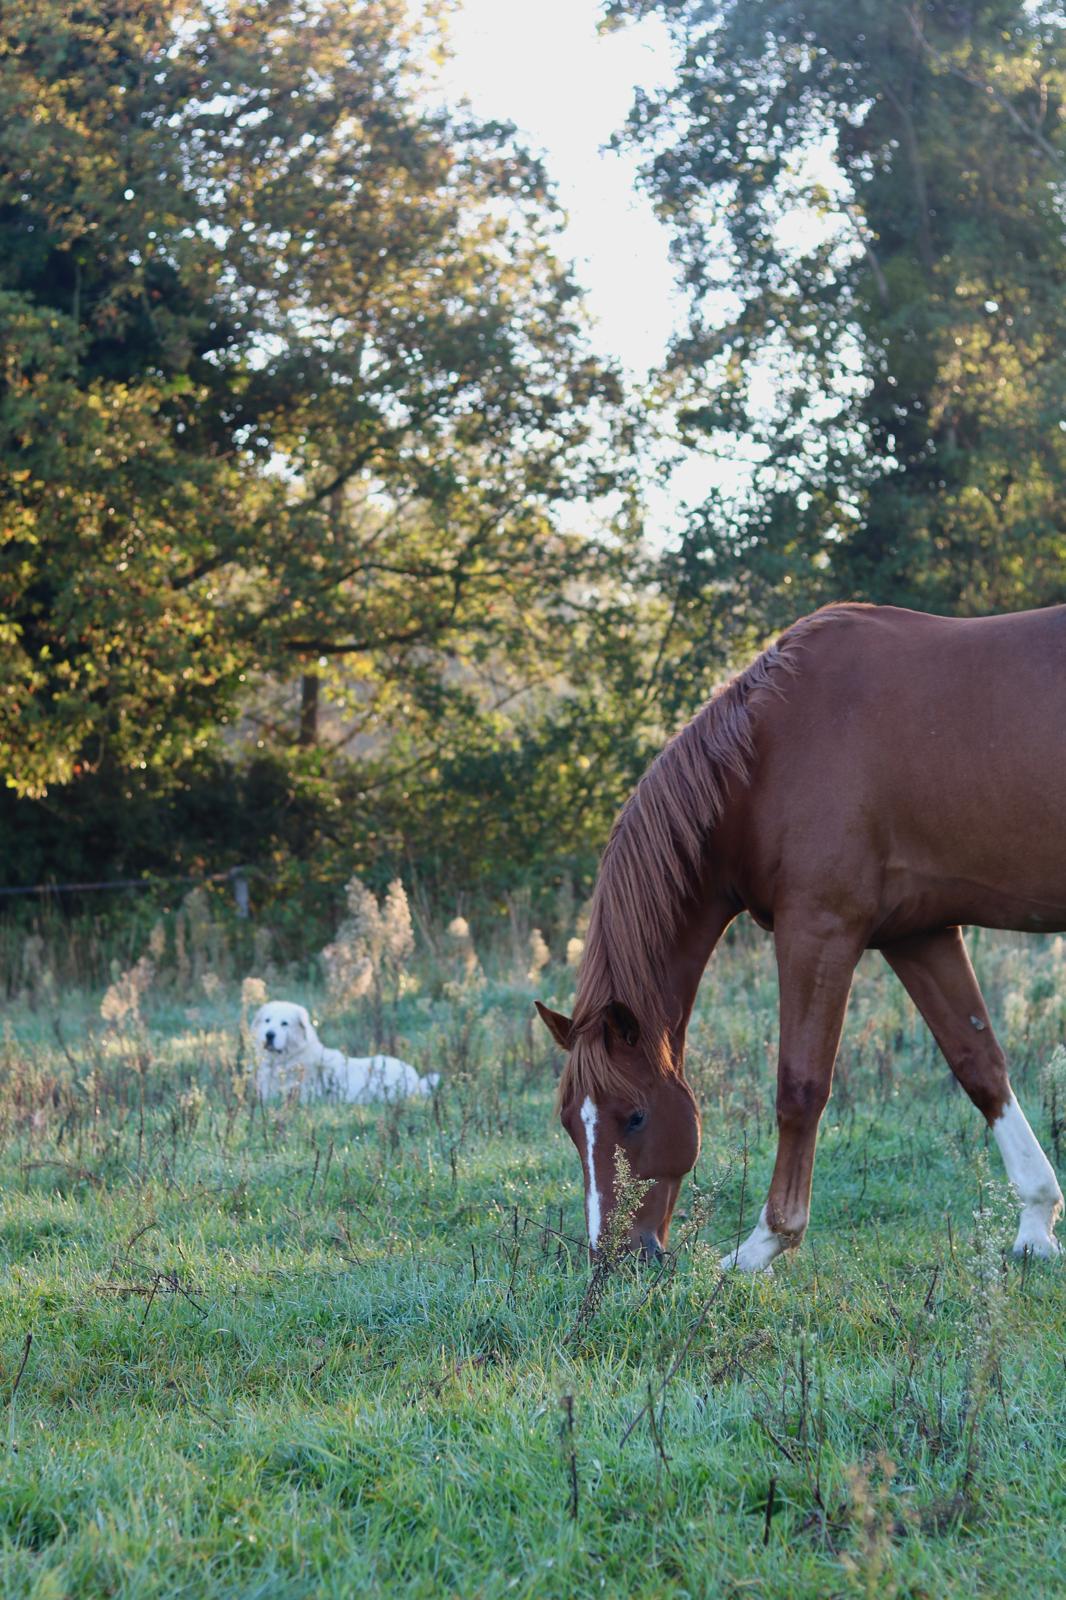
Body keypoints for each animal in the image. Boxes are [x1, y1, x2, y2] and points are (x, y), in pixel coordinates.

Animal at [536, 603, 1065, 1272]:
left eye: (633, 1117)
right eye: (568, 1125)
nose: (614, 1259)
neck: (765, 759)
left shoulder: (819, 929)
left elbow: (800, 1086)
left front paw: (764, 1243)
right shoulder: (918, 934)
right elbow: (981, 1065)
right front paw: (1036, 1225)